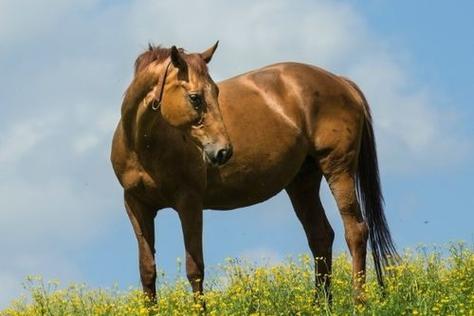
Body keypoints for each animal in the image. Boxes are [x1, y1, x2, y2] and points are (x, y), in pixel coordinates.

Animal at [110, 41, 396, 304]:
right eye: (195, 97)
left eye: (216, 92)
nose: (223, 151)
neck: (145, 144)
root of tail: (341, 82)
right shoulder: (137, 206)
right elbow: (147, 271)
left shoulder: (189, 202)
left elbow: (195, 270)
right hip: (302, 182)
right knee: (320, 235)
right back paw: (321, 304)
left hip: (338, 170)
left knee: (355, 231)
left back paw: (359, 302)